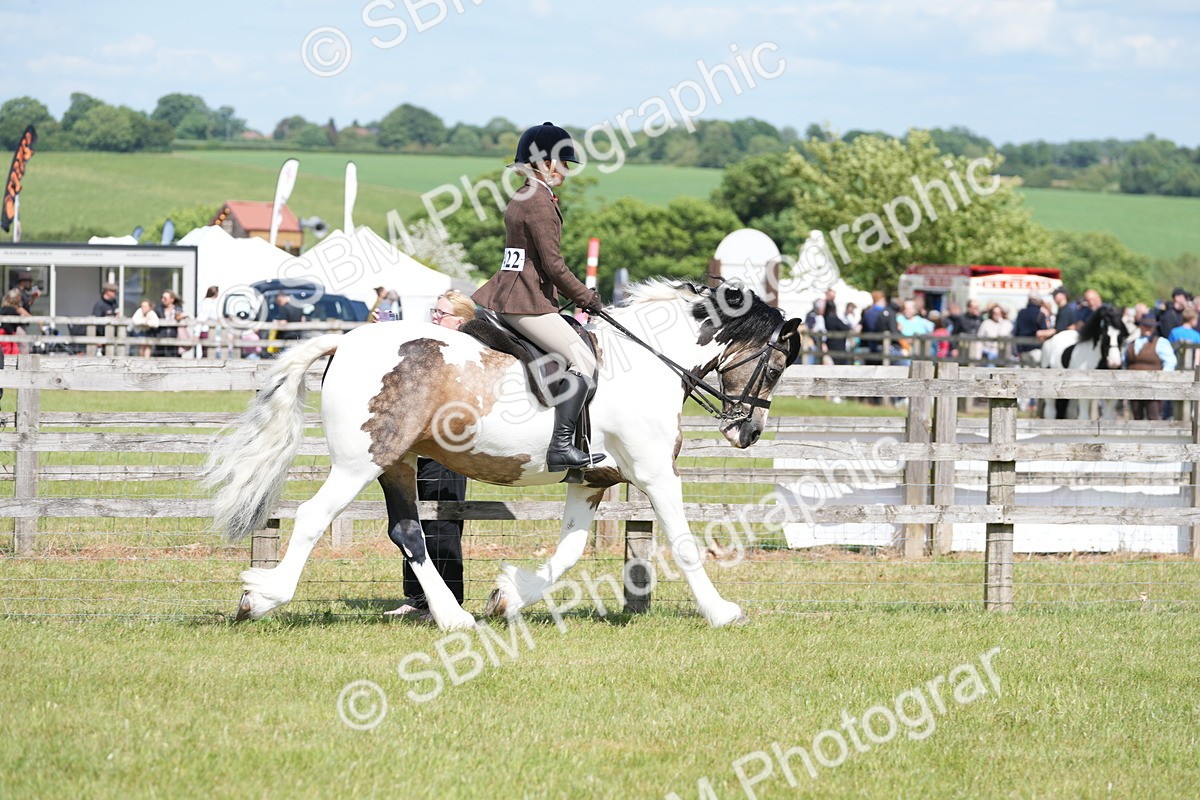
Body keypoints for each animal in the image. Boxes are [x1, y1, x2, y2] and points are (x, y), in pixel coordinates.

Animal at [204, 280, 802, 630]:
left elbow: (570, 551)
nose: (749, 431)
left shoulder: (591, 480)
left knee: (408, 532)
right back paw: (262, 597)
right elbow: (682, 542)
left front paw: (509, 596)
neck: (648, 360)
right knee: (313, 517)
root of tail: (346, 340)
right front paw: (722, 612)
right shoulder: (656, 473)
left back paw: (456, 619)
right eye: (776, 366)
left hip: (396, 463)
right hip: (362, 460)